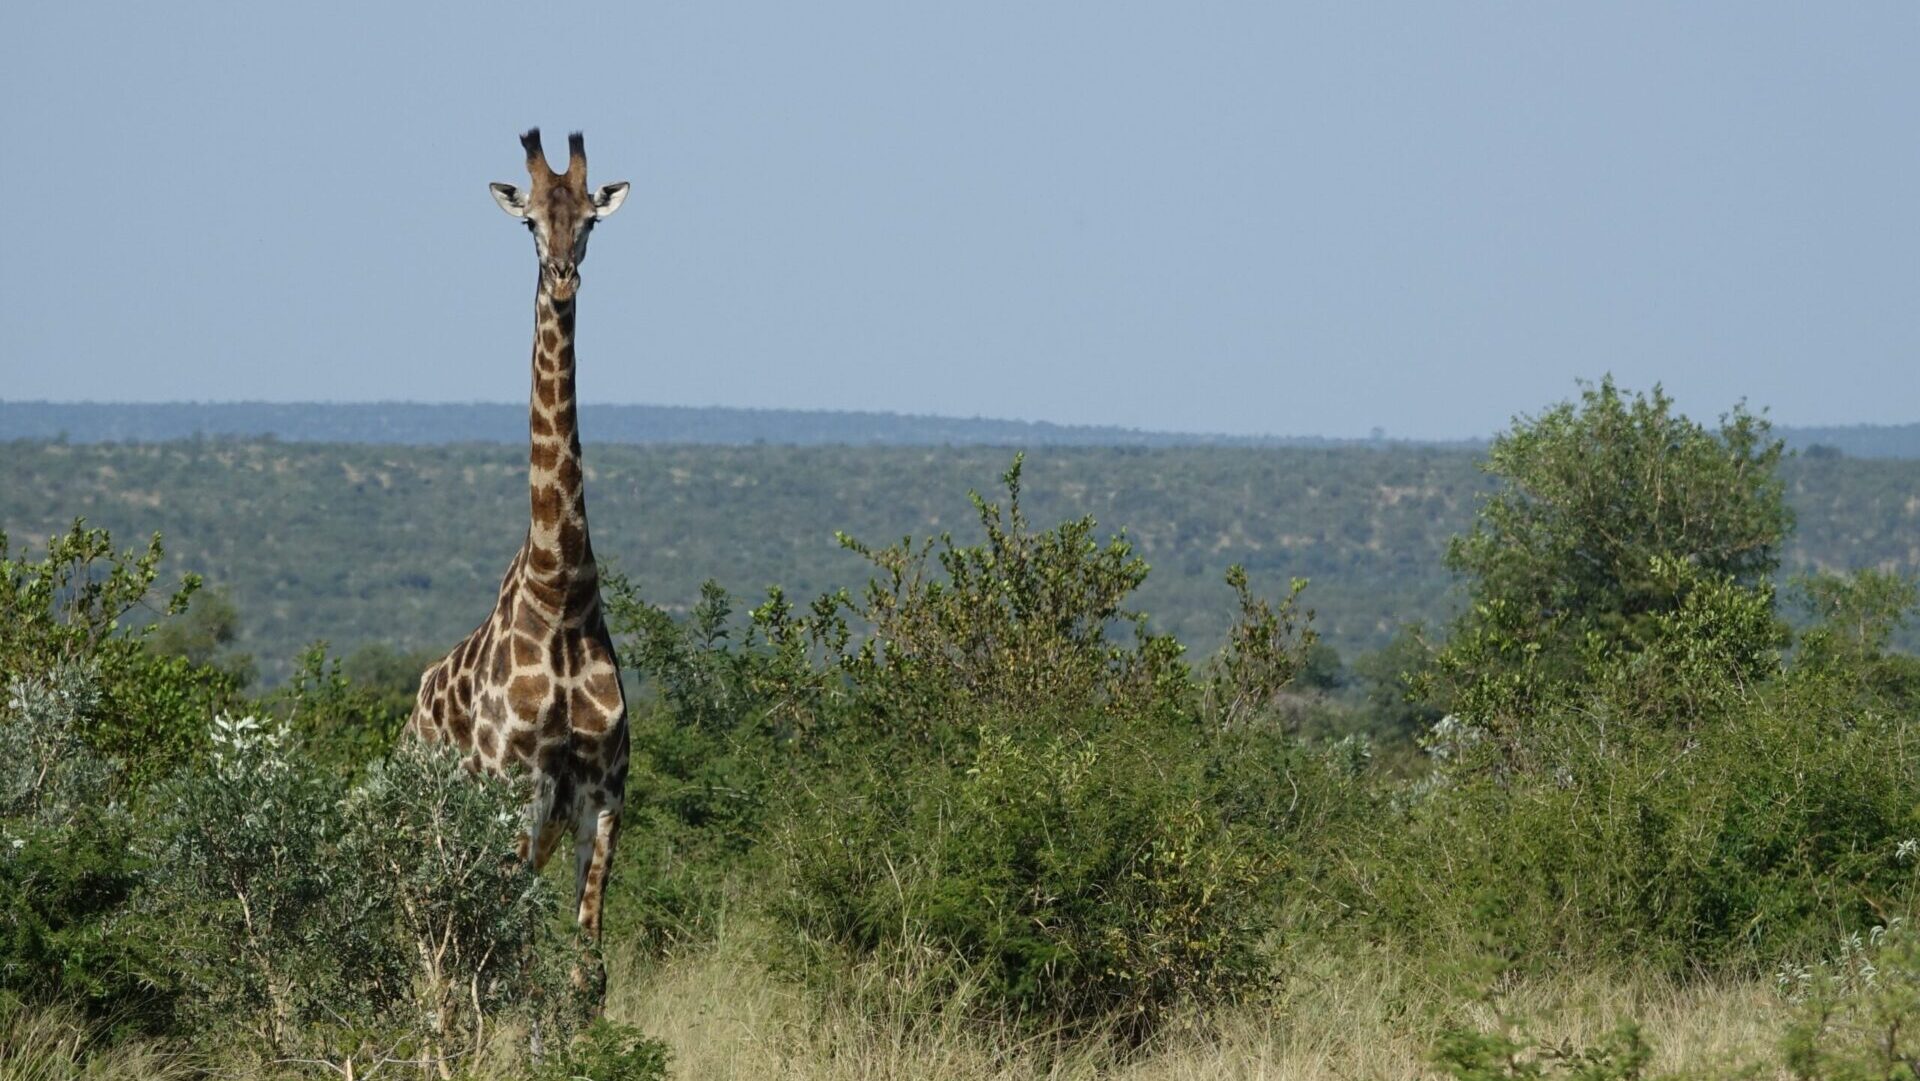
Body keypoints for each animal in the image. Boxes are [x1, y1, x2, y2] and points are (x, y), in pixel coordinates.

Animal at [411, 128, 632, 946]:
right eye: (530, 222)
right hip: (440, 830)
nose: (564, 280)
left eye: (591, 221)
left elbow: (584, 960)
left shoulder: (602, 799)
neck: (561, 588)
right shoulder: (515, 797)